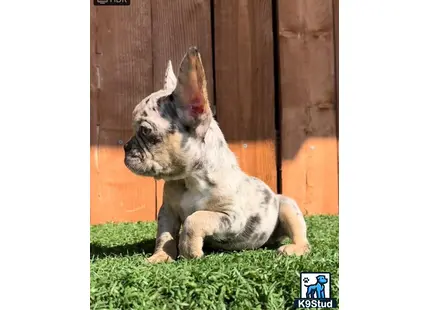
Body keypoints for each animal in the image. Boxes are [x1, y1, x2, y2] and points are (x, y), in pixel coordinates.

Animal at [123, 47, 310, 262]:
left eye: (146, 131)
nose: (125, 147)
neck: (189, 179)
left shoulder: (231, 217)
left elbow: (195, 219)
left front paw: (189, 250)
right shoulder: (167, 211)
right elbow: (165, 235)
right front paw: (161, 256)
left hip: (288, 206)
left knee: (301, 235)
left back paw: (295, 248)